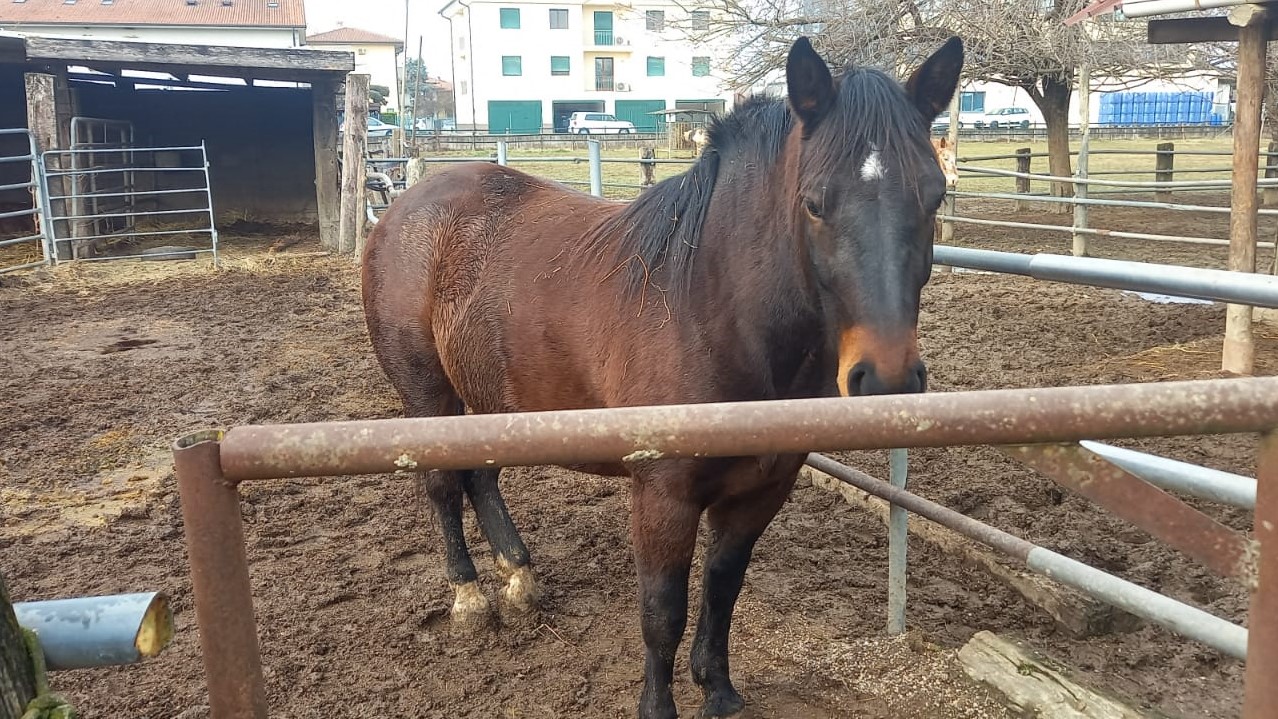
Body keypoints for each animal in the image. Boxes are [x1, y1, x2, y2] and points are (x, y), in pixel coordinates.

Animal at [360, 35, 963, 719]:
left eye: (934, 197)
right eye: (814, 203)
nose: (887, 379)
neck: (711, 310)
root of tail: (404, 207)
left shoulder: (761, 491)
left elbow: (722, 589)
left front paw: (718, 690)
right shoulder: (662, 496)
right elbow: (661, 612)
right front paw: (659, 705)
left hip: (492, 399)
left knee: (480, 476)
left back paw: (519, 576)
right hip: (427, 392)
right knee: (441, 484)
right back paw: (468, 596)